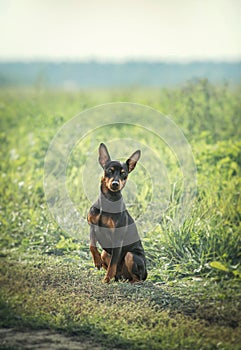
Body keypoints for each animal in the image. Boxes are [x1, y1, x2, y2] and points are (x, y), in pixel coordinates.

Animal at [87, 144, 147, 284]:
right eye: (110, 170)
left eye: (123, 173)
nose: (115, 184)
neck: (108, 200)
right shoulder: (92, 226)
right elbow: (92, 245)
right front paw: (97, 261)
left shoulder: (117, 239)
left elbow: (112, 265)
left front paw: (106, 280)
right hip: (106, 253)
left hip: (131, 255)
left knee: (137, 278)